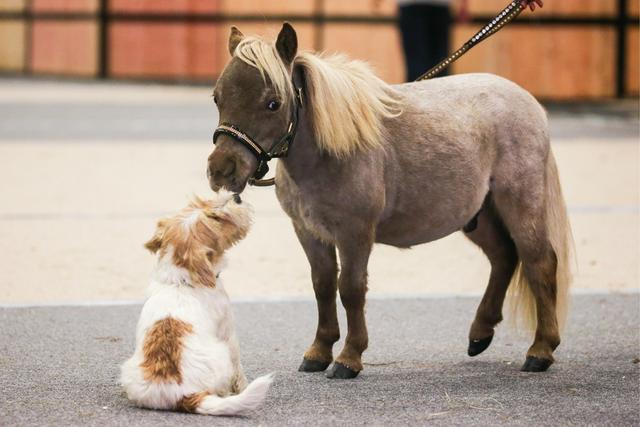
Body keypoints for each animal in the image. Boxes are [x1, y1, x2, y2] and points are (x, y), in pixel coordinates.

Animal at [120, 193, 272, 418]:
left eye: (200, 203)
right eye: (216, 218)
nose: (236, 196)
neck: (180, 281)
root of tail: (182, 395)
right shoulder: (229, 334)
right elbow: (239, 367)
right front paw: (242, 386)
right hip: (222, 355)